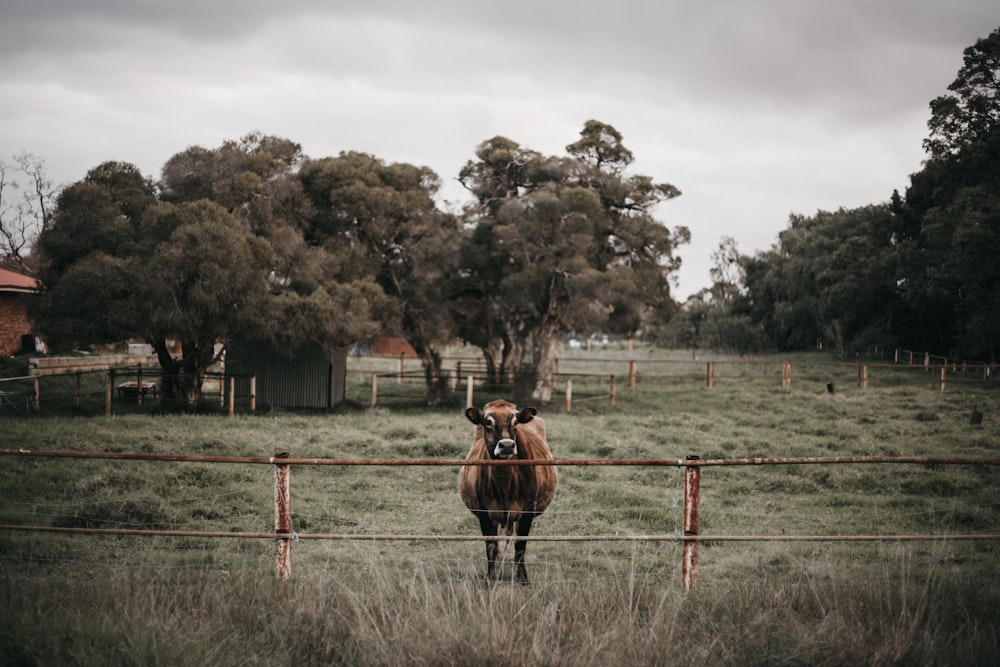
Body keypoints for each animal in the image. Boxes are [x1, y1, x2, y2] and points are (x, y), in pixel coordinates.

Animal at [458, 400, 560, 580]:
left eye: (516, 422)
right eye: (488, 421)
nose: (506, 445)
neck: (503, 483)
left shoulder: (527, 512)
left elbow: (520, 546)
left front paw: (523, 579)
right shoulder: (484, 513)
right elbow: (491, 547)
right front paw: (490, 578)